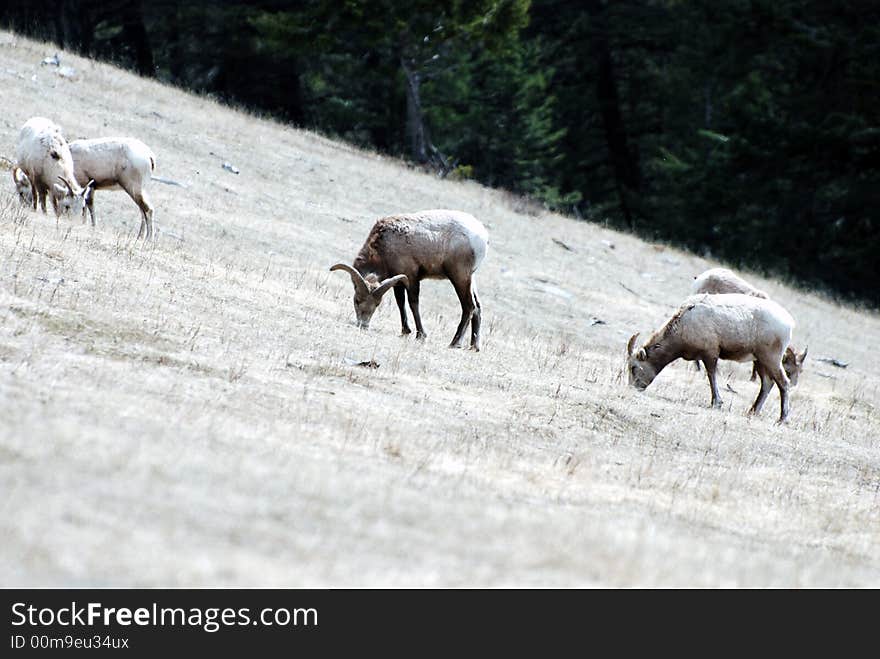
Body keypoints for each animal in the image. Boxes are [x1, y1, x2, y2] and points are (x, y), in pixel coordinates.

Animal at [330, 210, 488, 350]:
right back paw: (474, 346)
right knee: (477, 306)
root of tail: (482, 236)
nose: (363, 324)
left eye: (377, 304)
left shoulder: (411, 278)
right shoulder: (398, 281)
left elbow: (413, 303)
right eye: (357, 300)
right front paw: (405, 331)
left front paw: (421, 336)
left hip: (459, 277)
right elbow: (400, 302)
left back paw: (455, 343)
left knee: (469, 306)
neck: (385, 245)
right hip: (470, 279)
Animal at [624, 294, 796, 422]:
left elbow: (711, 374)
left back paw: (782, 419)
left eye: (633, 367)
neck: (683, 324)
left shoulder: (711, 352)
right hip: (759, 359)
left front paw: (717, 403)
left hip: (771, 357)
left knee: (783, 382)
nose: (633, 387)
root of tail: (789, 323)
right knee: (767, 382)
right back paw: (753, 411)